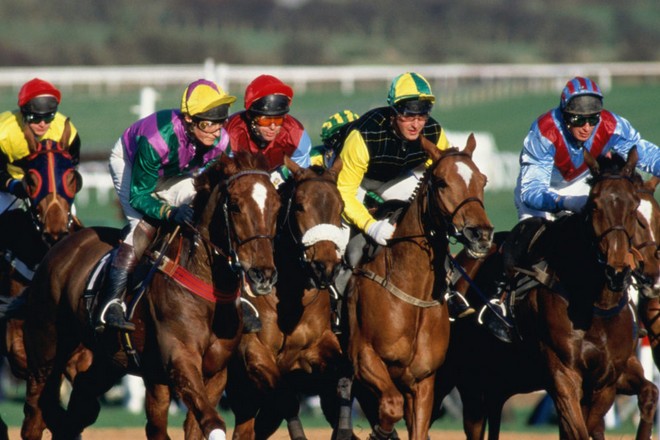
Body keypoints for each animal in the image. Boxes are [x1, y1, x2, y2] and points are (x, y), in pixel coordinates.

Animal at [21, 150, 281, 440]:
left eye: (277, 206)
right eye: (235, 205)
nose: (263, 275)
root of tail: (63, 242)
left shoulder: (214, 371)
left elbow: (194, 425)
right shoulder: (180, 360)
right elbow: (212, 422)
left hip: (107, 360)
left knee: (80, 405)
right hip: (45, 353)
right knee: (35, 414)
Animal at [225, 156, 348, 440]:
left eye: (341, 208)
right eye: (300, 206)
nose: (325, 266)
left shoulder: (318, 344)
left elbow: (342, 379)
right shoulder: (254, 352)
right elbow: (286, 398)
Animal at [345, 134, 494, 440]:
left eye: (482, 180)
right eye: (442, 182)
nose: (481, 234)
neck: (411, 291)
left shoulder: (423, 380)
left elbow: (418, 427)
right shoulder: (364, 357)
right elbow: (391, 405)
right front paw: (381, 432)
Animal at [434, 147, 659, 440]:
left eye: (635, 207)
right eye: (594, 205)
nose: (618, 270)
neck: (596, 305)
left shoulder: (608, 379)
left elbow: (645, 394)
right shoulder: (563, 374)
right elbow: (579, 429)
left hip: (497, 384)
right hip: (461, 380)